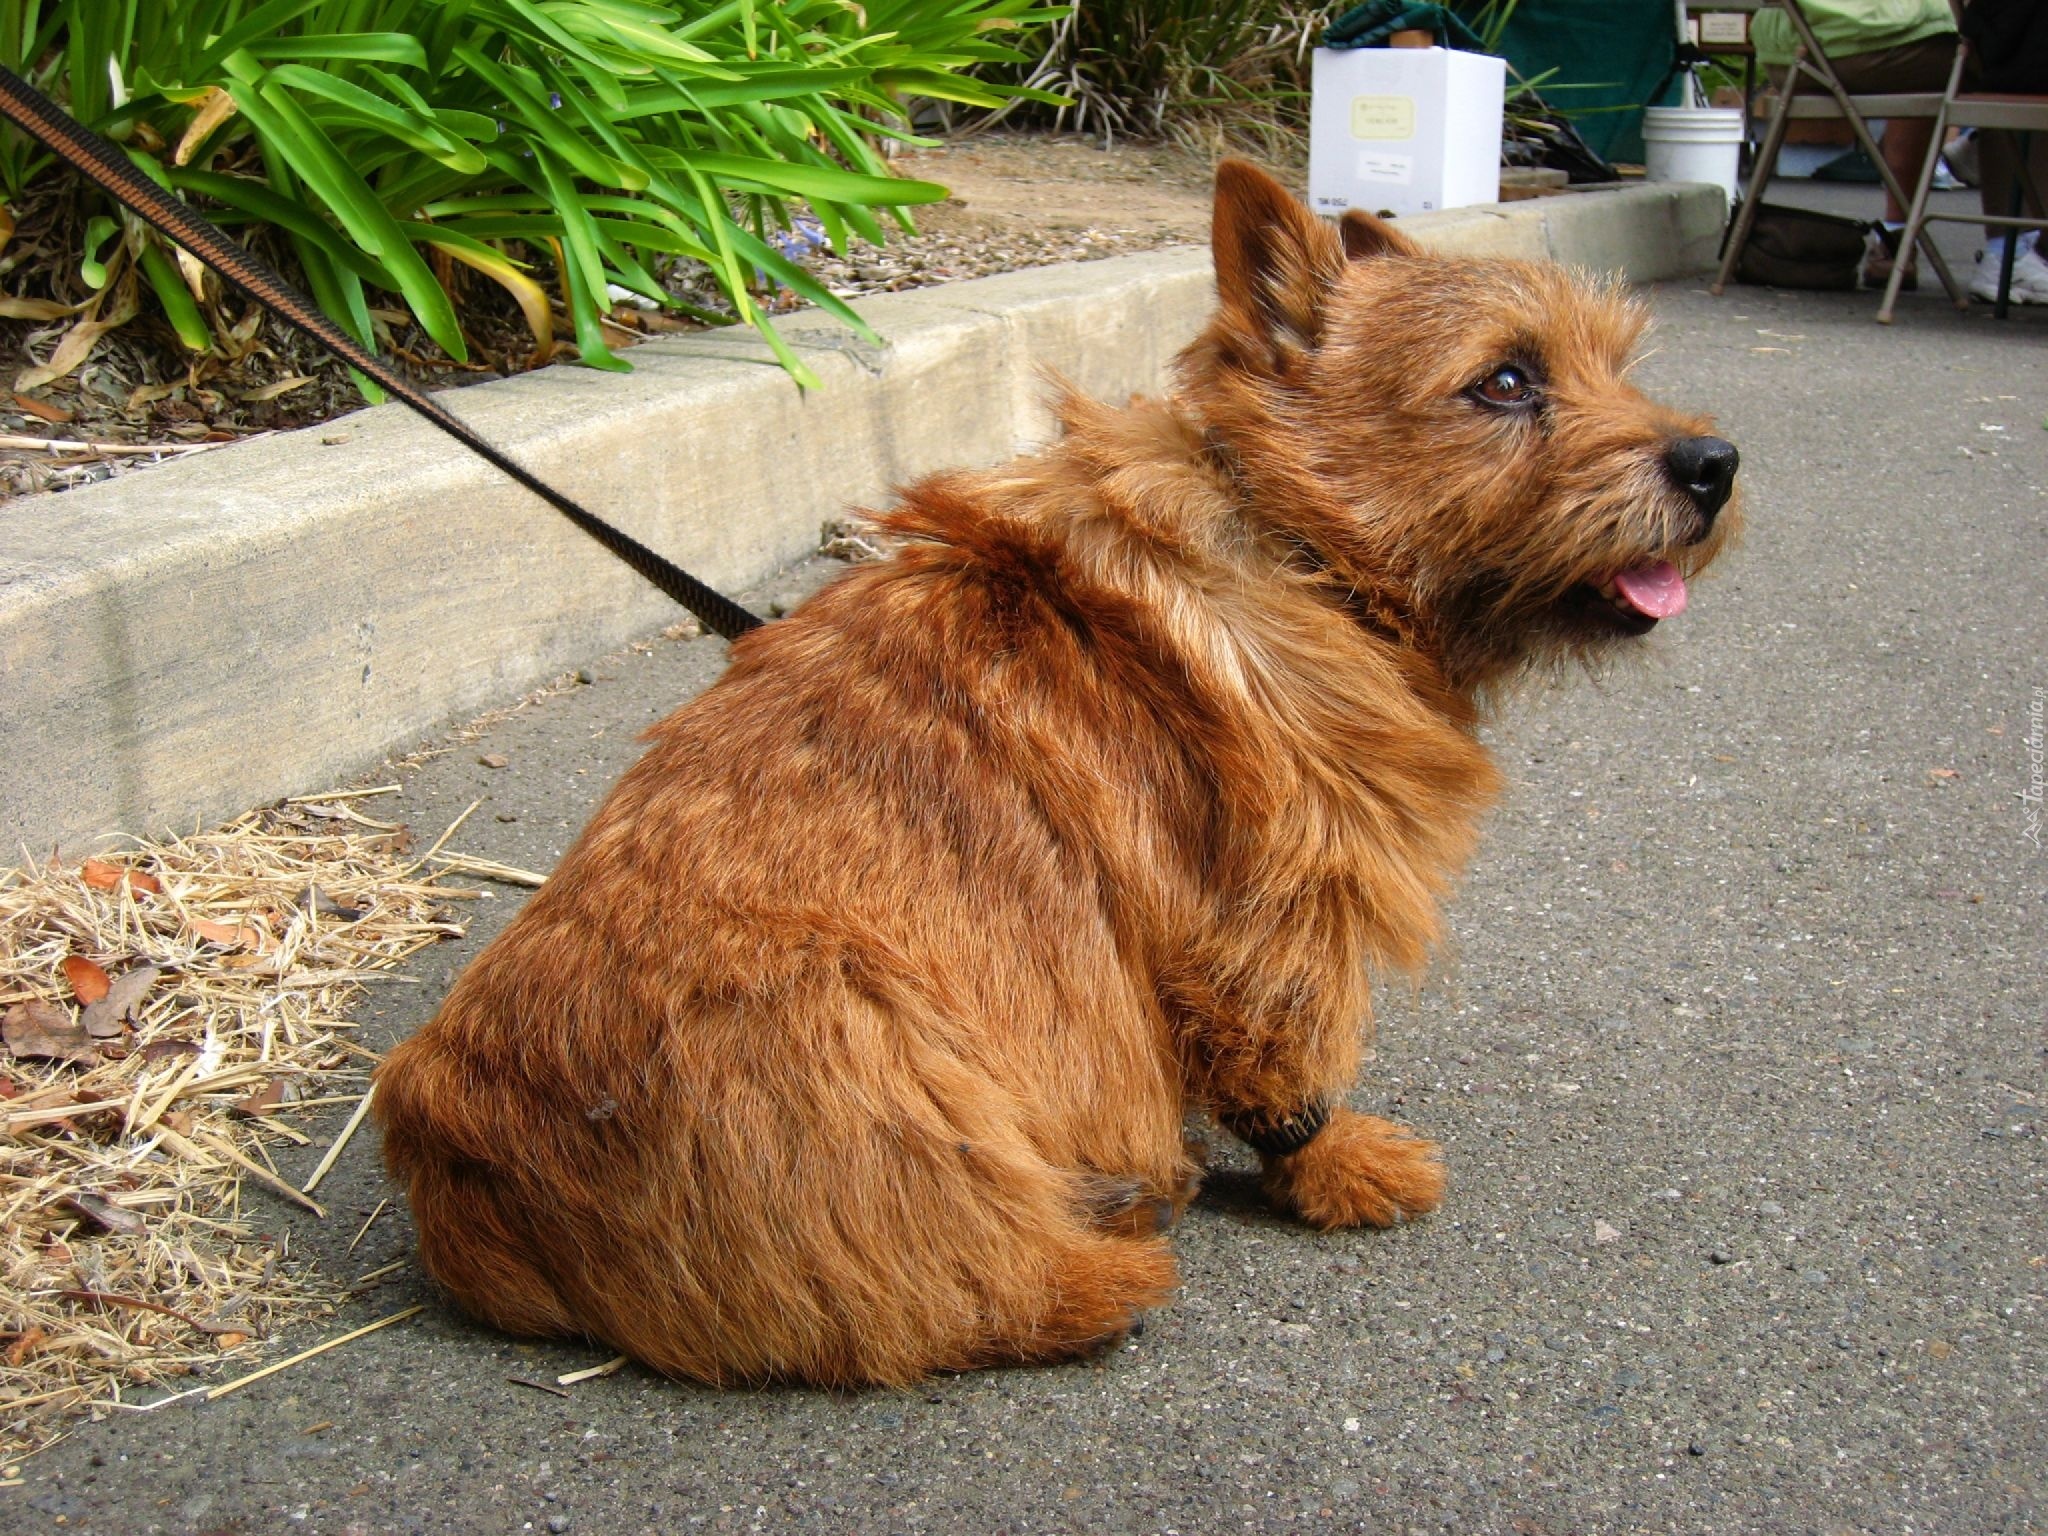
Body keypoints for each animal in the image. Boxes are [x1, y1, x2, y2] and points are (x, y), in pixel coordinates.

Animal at [376, 162, 1736, 1392]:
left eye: (1612, 360)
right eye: (1504, 380)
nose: (1713, 463)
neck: (1295, 545)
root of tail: (453, 1158)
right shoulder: (1271, 913)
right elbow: (1289, 1061)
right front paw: (1335, 1167)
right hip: (862, 1034)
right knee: (933, 1290)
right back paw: (1108, 1262)